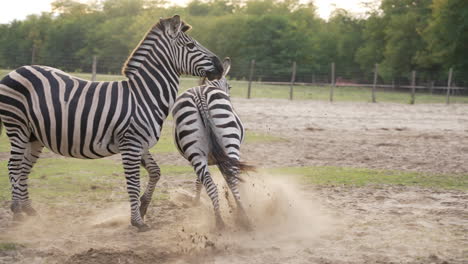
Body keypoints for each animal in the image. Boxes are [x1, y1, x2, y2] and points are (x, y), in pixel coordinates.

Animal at [0, 15, 224, 232]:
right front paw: (137, 222)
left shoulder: (141, 143)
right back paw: (17, 213)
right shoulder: (131, 144)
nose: (221, 66)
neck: (143, 96)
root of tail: (16, 70)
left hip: (34, 136)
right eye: (191, 46)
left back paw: (30, 212)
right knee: (14, 165)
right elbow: (132, 183)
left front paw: (143, 207)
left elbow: (155, 172)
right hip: (17, 126)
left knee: (24, 168)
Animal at [171, 57, 252, 229]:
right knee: (231, 180)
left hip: (196, 153)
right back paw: (241, 216)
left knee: (212, 185)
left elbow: (201, 181)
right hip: (228, 144)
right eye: (229, 86)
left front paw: (196, 202)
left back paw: (223, 221)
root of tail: (199, 94)